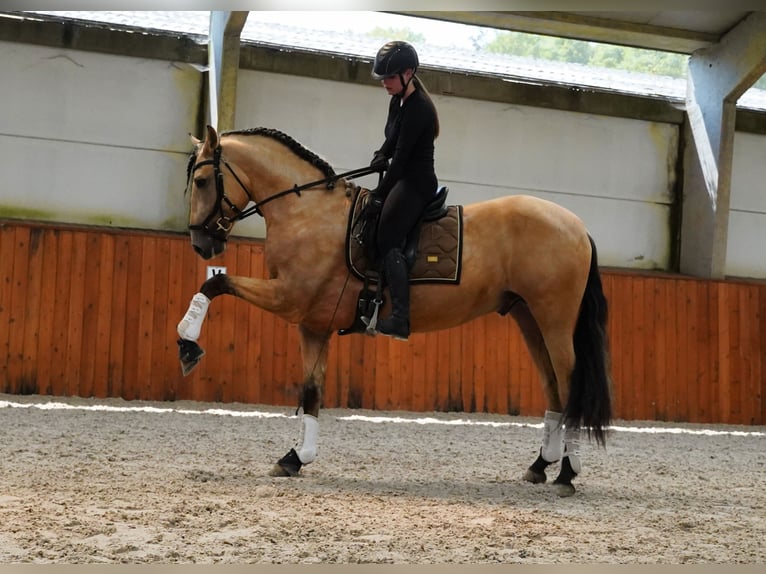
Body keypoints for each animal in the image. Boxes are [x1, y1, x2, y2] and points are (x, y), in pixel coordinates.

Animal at [177, 124, 616, 498]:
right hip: (529, 318)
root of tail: (577, 227)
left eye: (202, 181)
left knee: (569, 384)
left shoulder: (289, 298)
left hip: (554, 320)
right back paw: (541, 465)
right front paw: (295, 458)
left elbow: (215, 284)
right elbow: (312, 390)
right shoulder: (313, 323)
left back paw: (567, 473)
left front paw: (187, 346)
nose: (201, 243)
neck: (309, 214)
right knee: (553, 387)